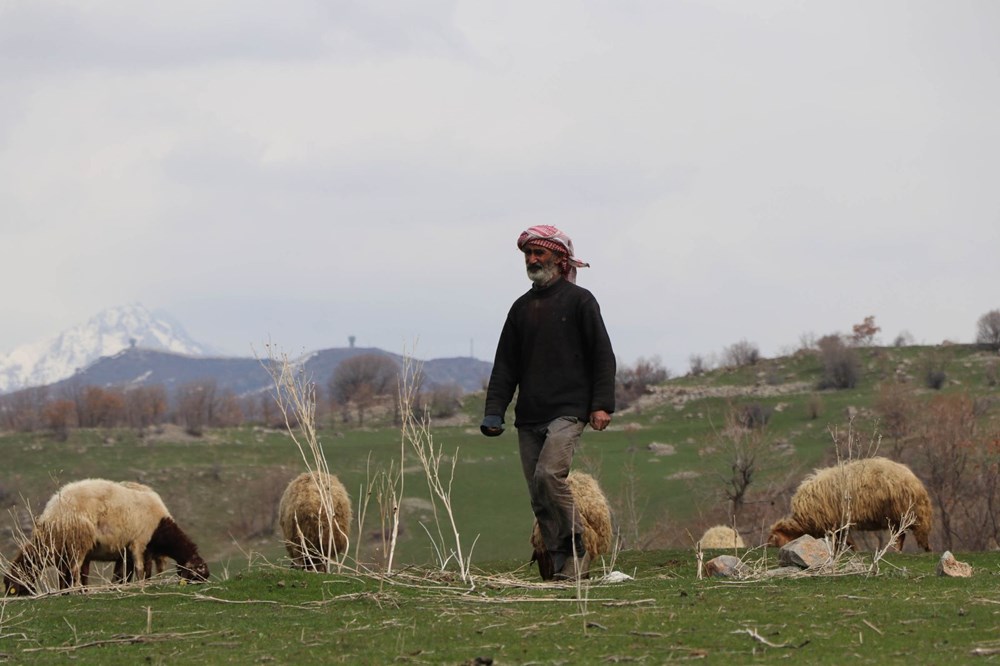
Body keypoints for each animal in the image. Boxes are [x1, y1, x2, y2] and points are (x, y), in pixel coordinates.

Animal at [4, 474, 209, 592]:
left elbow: (125, 573)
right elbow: (141, 570)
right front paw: (141, 585)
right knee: (75, 570)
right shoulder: (139, 543)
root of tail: (53, 511)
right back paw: (76, 591)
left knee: (71, 572)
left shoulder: (130, 550)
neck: (161, 527)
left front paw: (124, 586)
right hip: (78, 541)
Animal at [768, 456, 932, 548]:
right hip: (898, 518)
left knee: (909, 536)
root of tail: (913, 479)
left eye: (775, 540)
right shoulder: (837, 527)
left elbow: (848, 543)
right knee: (901, 536)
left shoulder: (836, 524)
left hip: (904, 514)